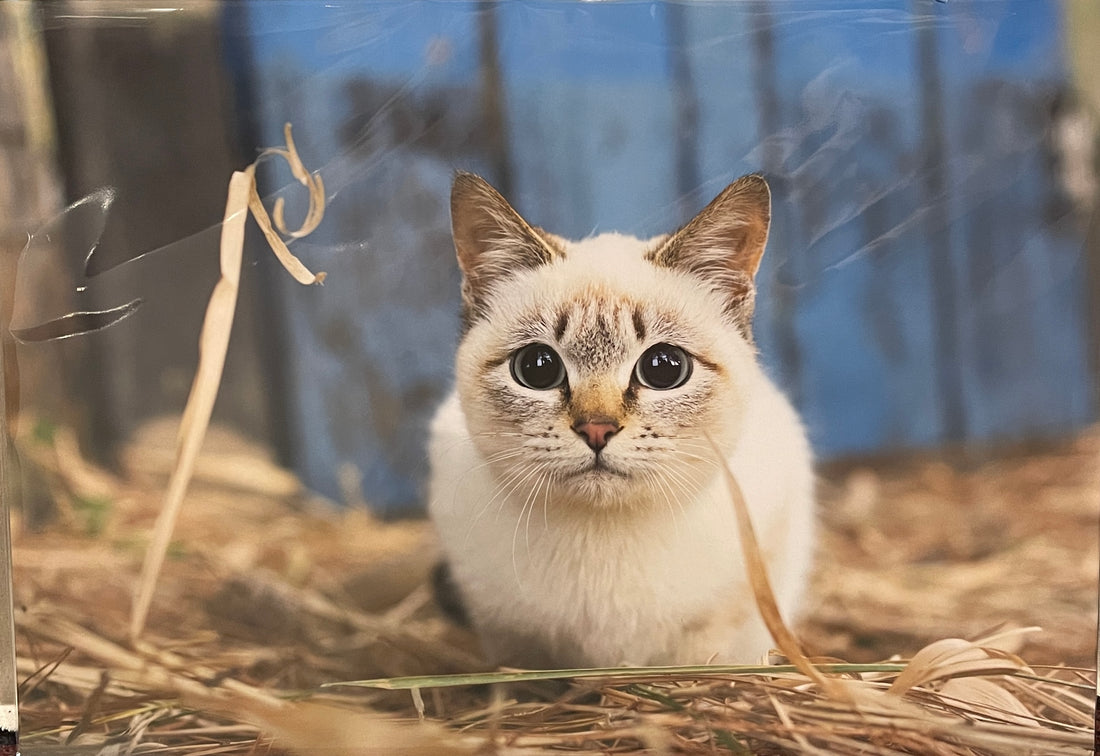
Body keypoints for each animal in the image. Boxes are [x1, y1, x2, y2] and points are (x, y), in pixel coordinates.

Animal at [429, 172, 818, 669]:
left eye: (664, 368)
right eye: (536, 368)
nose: (597, 429)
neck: (602, 537)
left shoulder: (725, 612)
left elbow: (697, 665)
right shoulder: (506, 632)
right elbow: (522, 670)